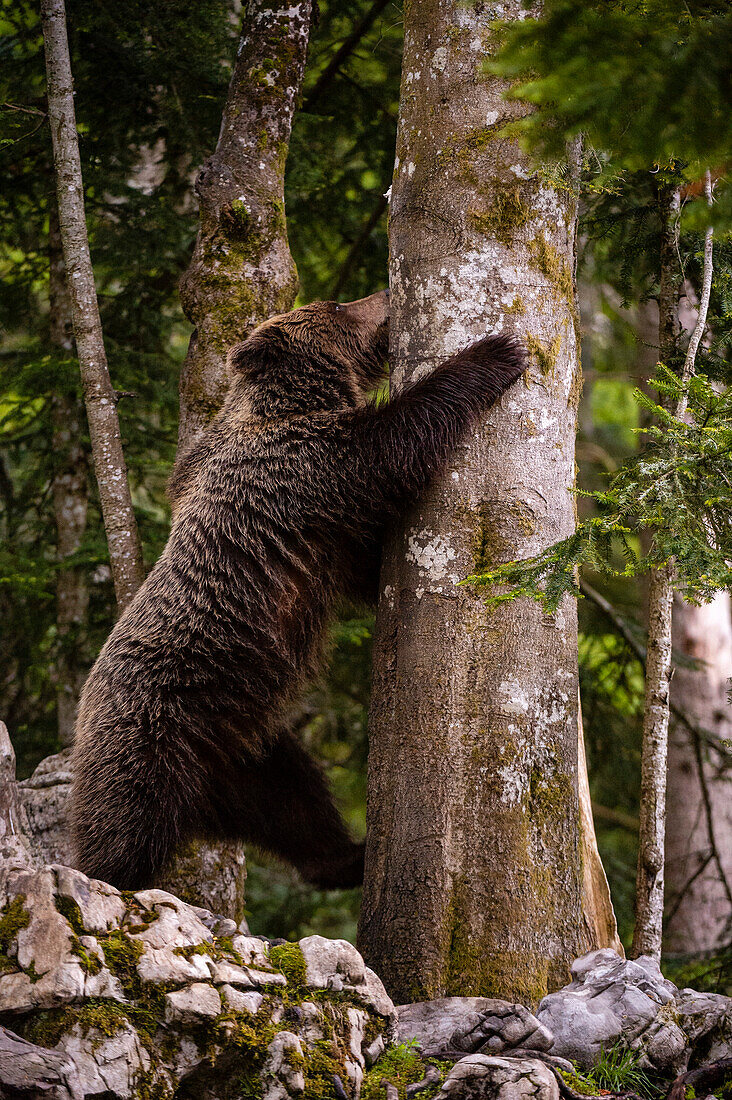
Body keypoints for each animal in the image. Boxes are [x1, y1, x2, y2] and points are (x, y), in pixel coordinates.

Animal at [69, 292, 526, 893]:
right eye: (336, 305)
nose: (381, 293)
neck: (289, 404)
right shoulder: (299, 467)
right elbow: (391, 441)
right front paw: (494, 354)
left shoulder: (322, 529)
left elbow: (366, 566)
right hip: (148, 735)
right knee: (125, 826)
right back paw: (108, 882)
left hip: (249, 752)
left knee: (296, 805)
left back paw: (347, 858)